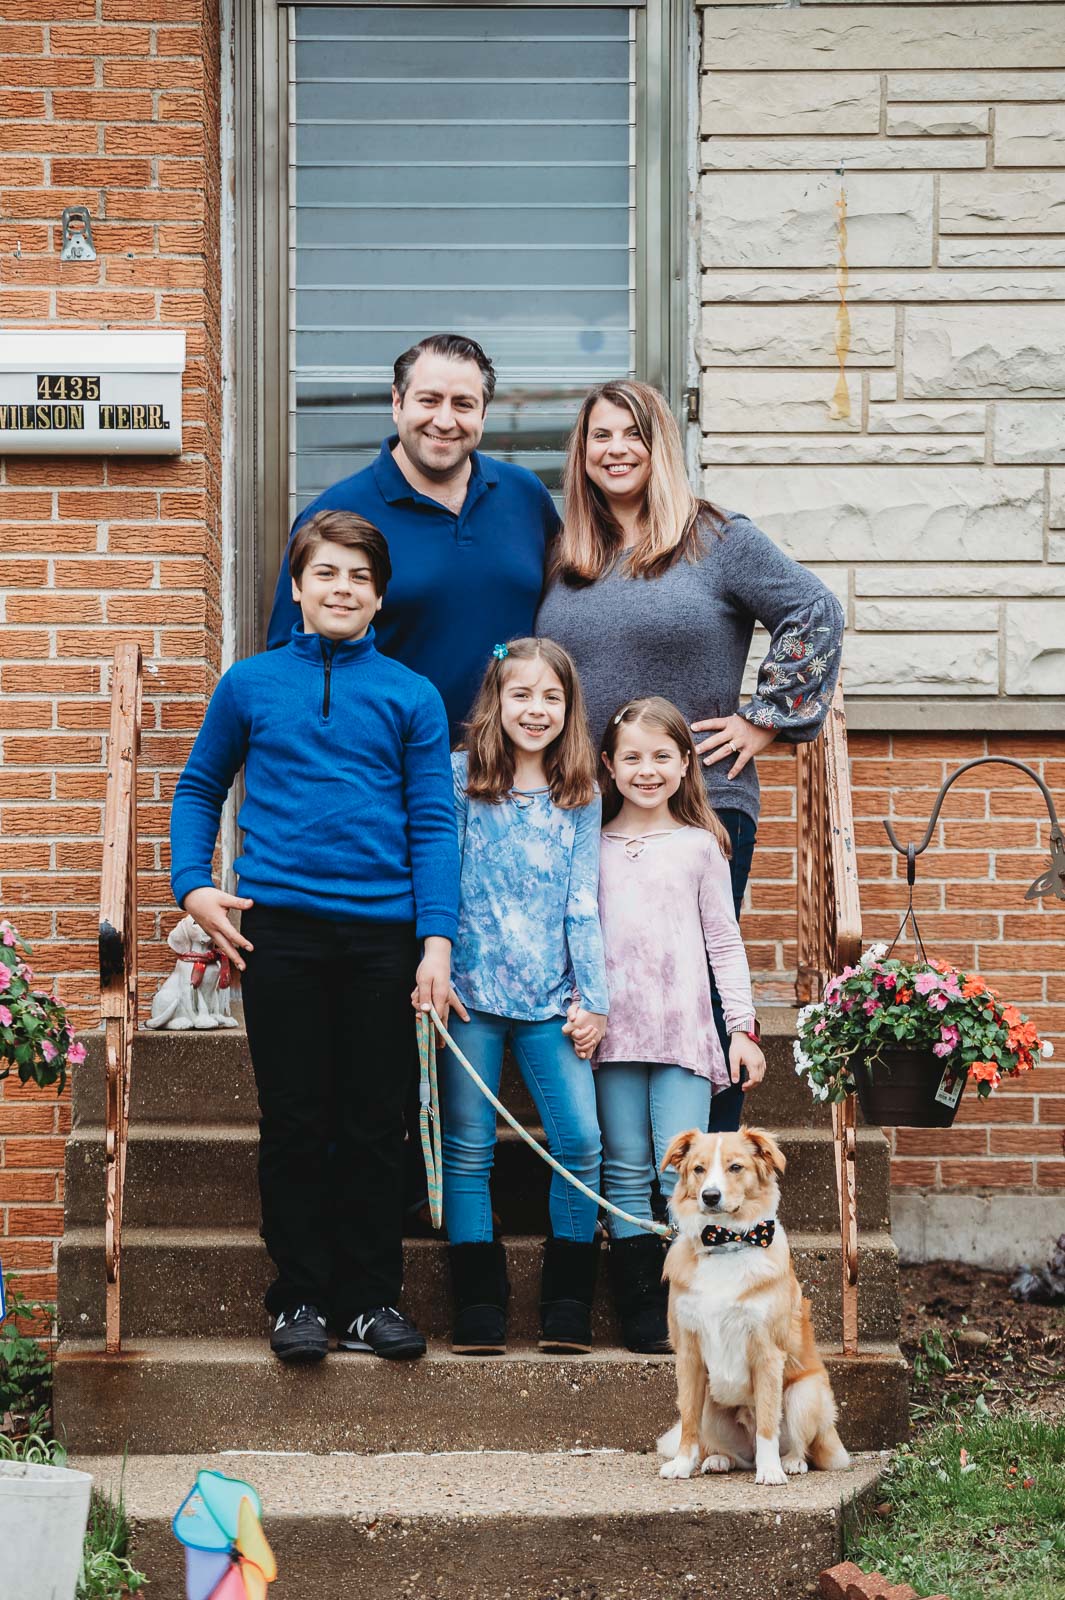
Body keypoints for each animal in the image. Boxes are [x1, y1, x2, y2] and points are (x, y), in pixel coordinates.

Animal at [652, 1126, 850, 1484]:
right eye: (699, 1169)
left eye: (735, 1167)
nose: (710, 1196)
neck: (726, 1244)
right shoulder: (688, 1354)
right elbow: (688, 1419)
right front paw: (682, 1463)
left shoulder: (767, 1352)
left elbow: (769, 1423)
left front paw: (770, 1471)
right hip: (712, 1406)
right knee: (732, 1452)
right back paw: (718, 1458)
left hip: (805, 1393)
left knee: (798, 1444)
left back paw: (790, 1462)